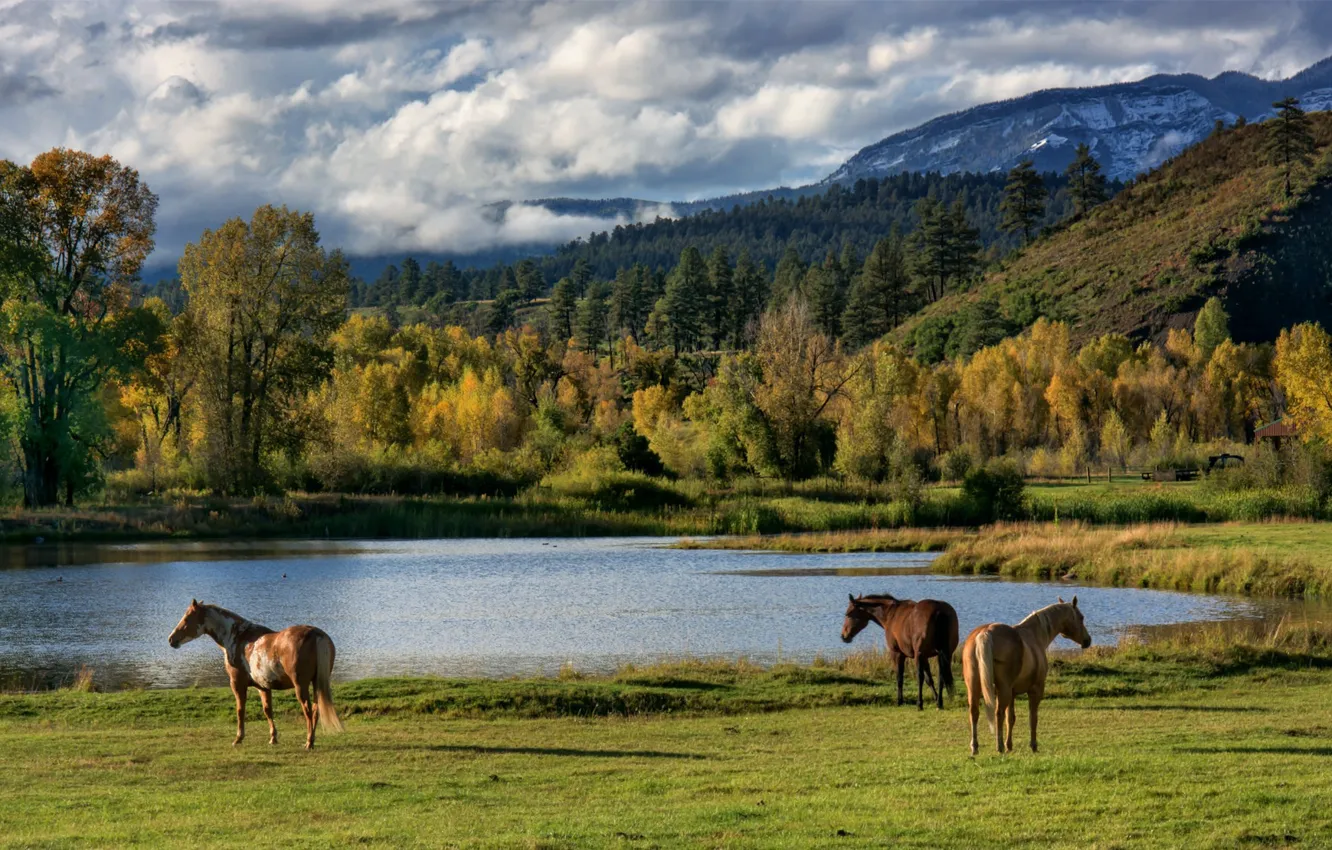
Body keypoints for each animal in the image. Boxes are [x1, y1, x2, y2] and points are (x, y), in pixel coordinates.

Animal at [168, 599, 343, 749]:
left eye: (187, 618)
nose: (171, 639)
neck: (238, 637)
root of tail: (316, 634)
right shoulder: (263, 686)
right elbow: (268, 710)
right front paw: (273, 738)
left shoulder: (237, 684)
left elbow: (240, 710)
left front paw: (238, 738)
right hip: (316, 683)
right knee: (315, 709)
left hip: (301, 685)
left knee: (307, 710)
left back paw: (309, 742)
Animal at [961, 596, 1092, 756]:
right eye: (1081, 617)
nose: (1087, 640)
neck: (1034, 635)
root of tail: (985, 633)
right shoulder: (1036, 689)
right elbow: (1033, 718)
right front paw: (1033, 745)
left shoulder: (1012, 693)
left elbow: (1011, 718)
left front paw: (1009, 745)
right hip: (1003, 690)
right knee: (998, 713)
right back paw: (999, 747)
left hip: (975, 687)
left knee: (974, 712)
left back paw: (975, 748)